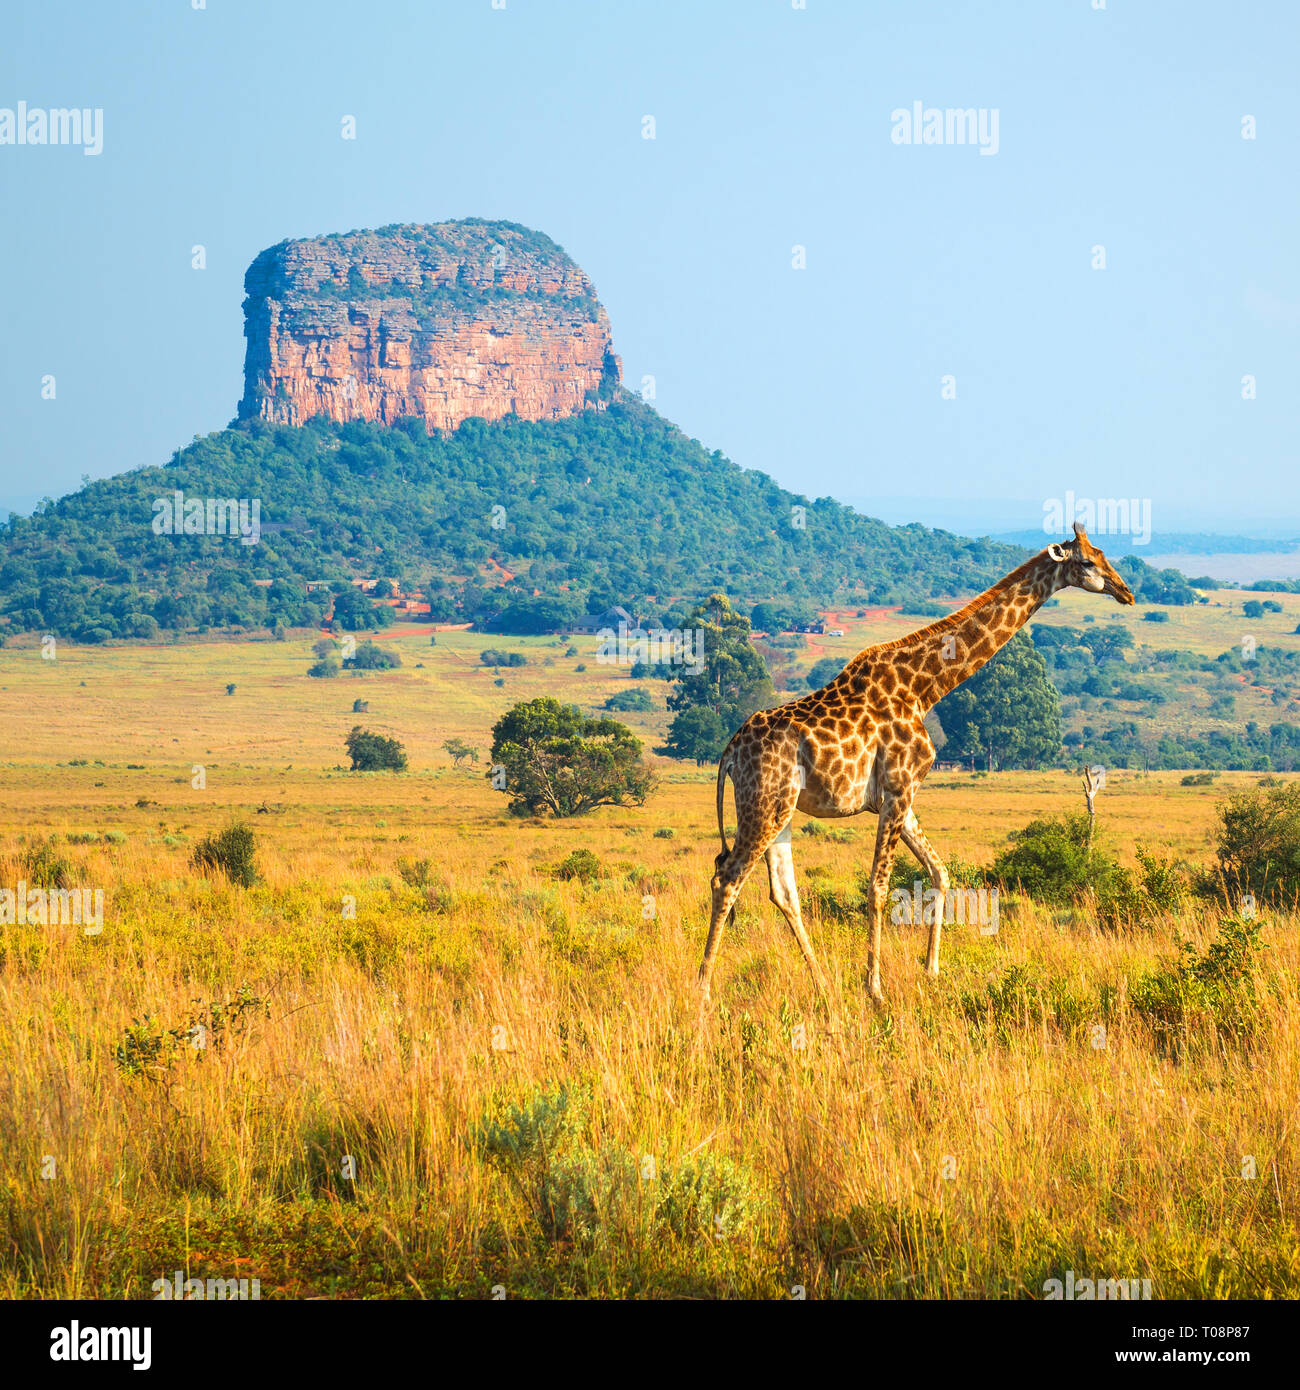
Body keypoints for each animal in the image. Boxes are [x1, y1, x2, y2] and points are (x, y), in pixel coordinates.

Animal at [695, 522, 1134, 1000]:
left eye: (1104, 554)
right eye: (1087, 562)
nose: (1126, 591)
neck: (925, 688)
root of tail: (729, 753)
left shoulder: (899, 797)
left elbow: (939, 872)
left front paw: (932, 970)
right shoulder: (898, 789)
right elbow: (879, 887)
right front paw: (875, 987)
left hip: (783, 810)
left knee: (782, 891)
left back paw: (823, 984)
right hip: (763, 805)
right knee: (727, 878)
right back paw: (703, 989)